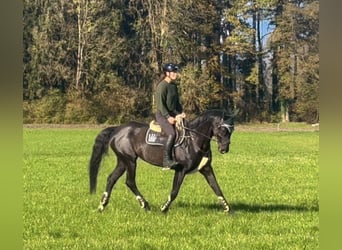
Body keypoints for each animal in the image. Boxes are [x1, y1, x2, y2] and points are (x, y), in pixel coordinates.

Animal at [89, 110, 235, 215]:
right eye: (222, 129)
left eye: (231, 130)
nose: (224, 149)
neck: (194, 140)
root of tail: (117, 129)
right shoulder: (181, 170)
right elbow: (174, 191)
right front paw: (164, 208)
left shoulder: (206, 169)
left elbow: (217, 188)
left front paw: (228, 210)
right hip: (130, 161)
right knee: (130, 181)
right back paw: (145, 205)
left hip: (122, 161)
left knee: (111, 179)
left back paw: (102, 206)